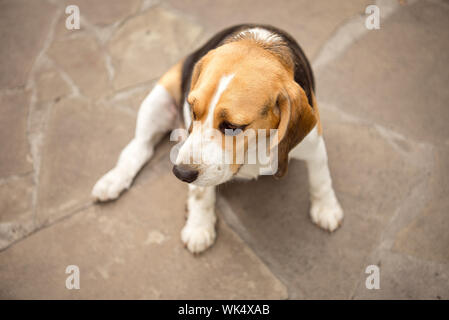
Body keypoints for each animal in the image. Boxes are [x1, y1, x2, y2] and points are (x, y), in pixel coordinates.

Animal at [92, 25, 344, 254]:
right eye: (192, 110)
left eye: (232, 127)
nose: (180, 173)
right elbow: (201, 193)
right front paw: (198, 227)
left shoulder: (314, 143)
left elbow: (321, 178)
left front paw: (326, 208)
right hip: (158, 98)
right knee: (139, 147)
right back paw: (113, 179)